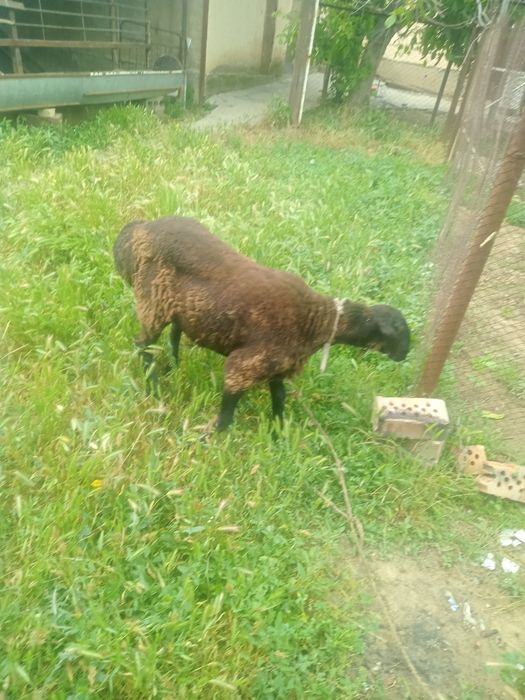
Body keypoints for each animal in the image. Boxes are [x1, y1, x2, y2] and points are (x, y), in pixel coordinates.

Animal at [113, 215, 410, 431]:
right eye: (399, 332)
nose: (404, 355)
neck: (317, 320)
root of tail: (139, 228)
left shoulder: (277, 368)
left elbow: (279, 399)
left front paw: (278, 434)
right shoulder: (246, 363)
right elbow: (229, 409)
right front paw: (212, 434)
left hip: (180, 310)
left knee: (173, 336)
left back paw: (173, 368)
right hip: (152, 303)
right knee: (142, 345)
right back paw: (154, 388)